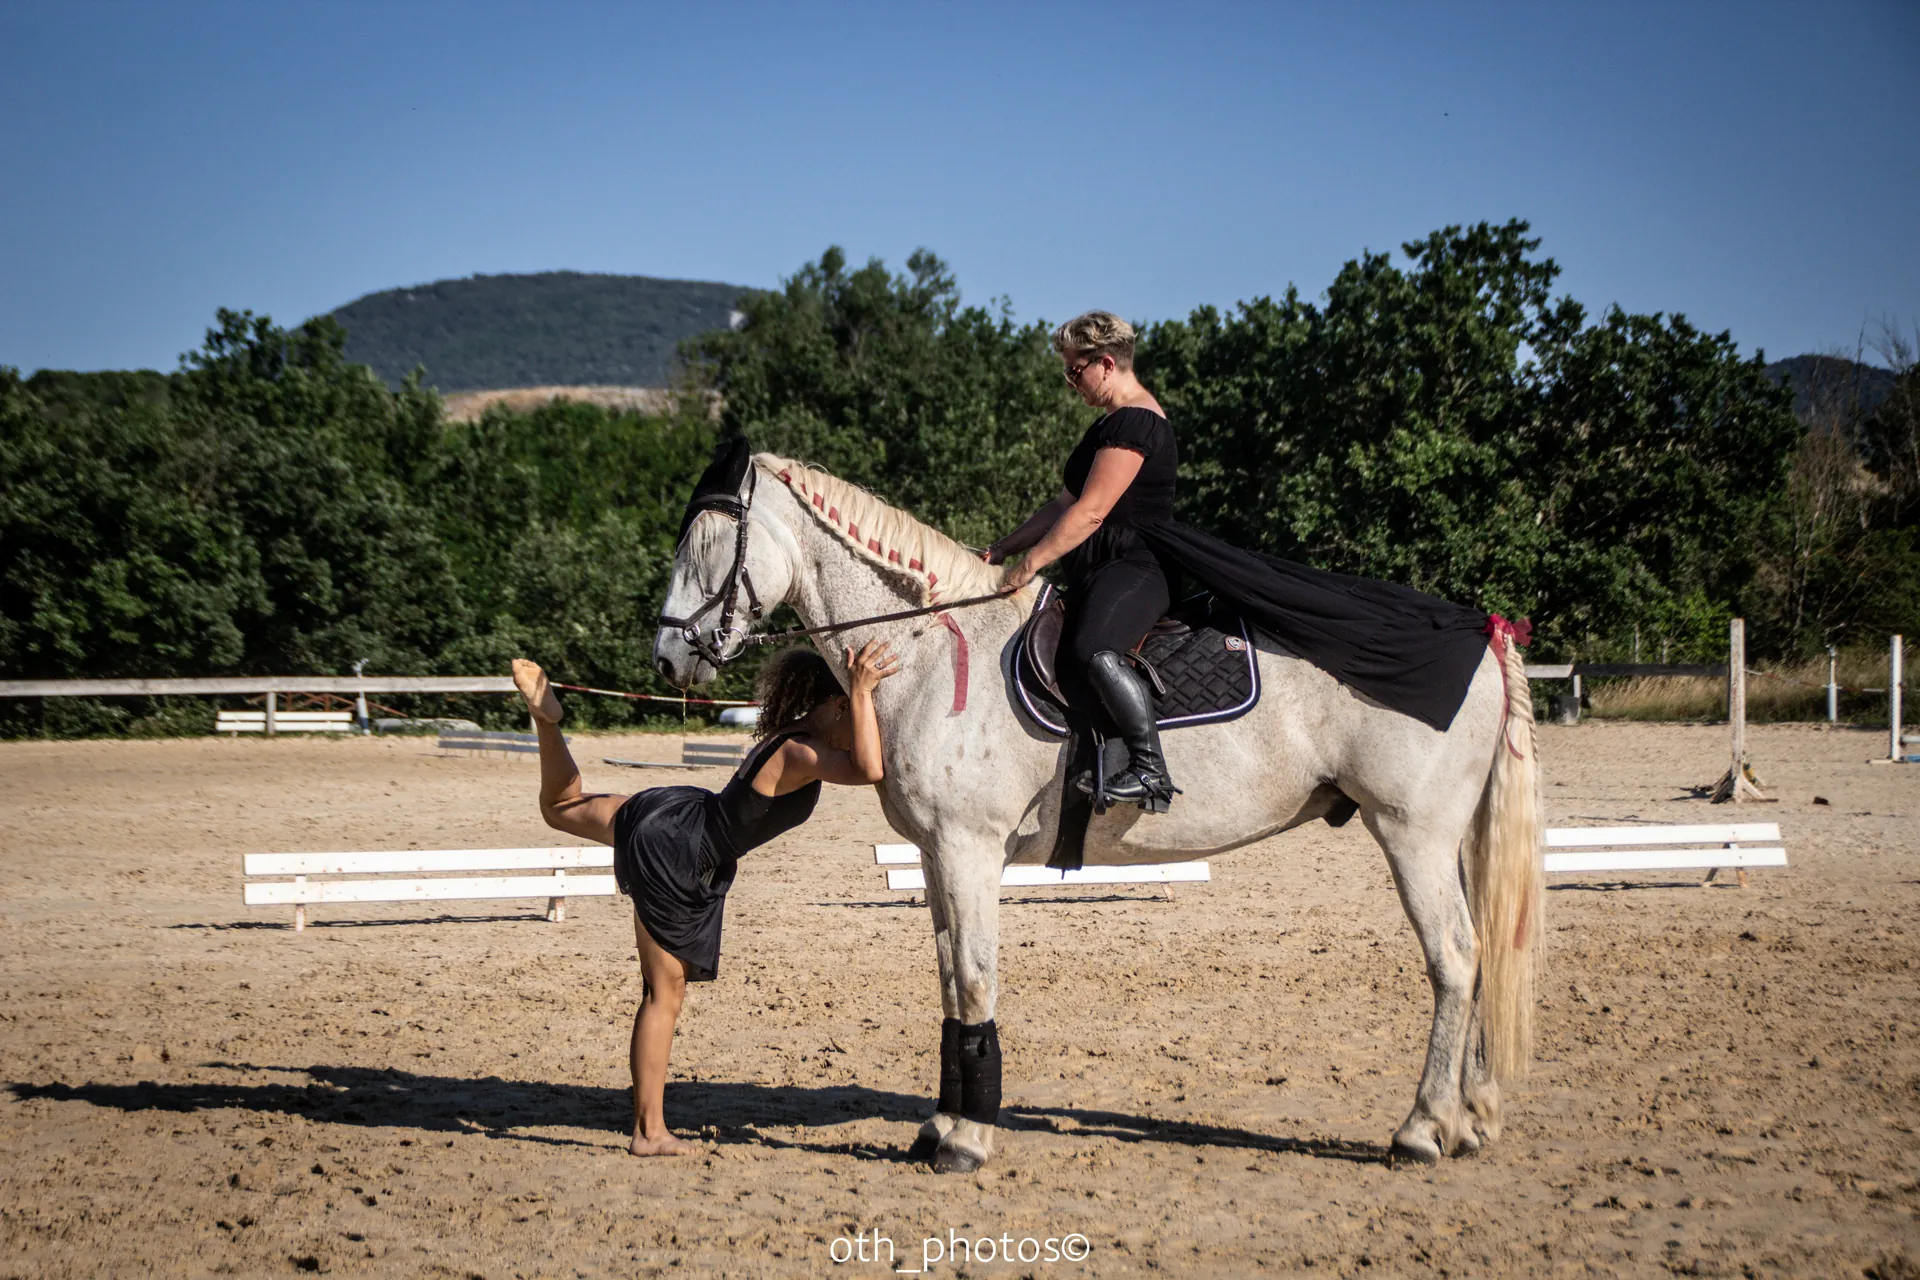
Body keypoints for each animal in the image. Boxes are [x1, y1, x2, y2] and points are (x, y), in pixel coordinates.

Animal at [653, 452, 1543, 1172]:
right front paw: (939, 1127)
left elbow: (974, 979)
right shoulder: (938, 856)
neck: (928, 649)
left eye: (705, 546)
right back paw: (1469, 1122)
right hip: (1445, 839)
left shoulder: (969, 847)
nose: (666, 657)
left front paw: (967, 1142)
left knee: (1456, 958)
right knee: (1482, 953)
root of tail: (1483, 631)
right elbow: (948, 985)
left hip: (1411, 832)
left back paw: (1422, 1130)